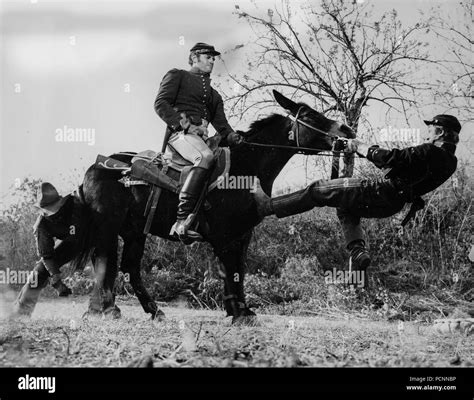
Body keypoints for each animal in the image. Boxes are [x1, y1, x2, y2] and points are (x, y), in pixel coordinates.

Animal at [74, 90, 354, 322]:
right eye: (308, 115)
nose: (346, 130)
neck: (244, 167)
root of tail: (96, 168)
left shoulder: (242, 235)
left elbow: (237, 270)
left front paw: (239, 309)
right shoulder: (225, 236)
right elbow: (230, 270)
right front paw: (240, 313)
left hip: (134, 232)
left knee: (129, 267)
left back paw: (150, 310)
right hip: (108, 228)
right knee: (104, 262)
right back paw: (106, 309)